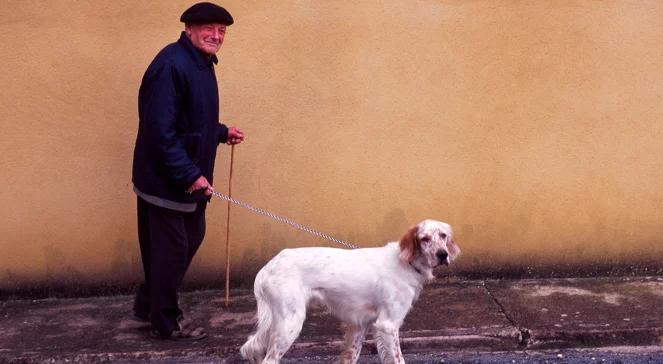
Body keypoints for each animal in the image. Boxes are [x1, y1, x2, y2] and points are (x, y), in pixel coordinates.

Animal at [240, 219, 462, 364]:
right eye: (425, 238)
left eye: (443, 236)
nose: (443, 254)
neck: (406, 263)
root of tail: (267, 267)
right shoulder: (388, 325)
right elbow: (398, 359)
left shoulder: (360, 324)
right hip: (290, 323)